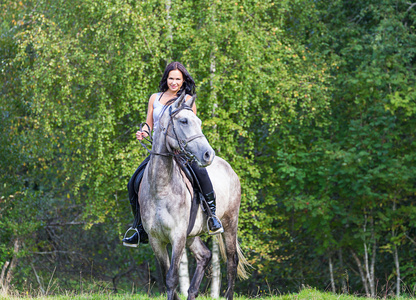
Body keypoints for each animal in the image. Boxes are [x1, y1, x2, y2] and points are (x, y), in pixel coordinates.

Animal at [140, 94, 249, 300]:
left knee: (232, 261)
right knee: (204, 255)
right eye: (183, 121)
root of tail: (229, 168)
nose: (208, 154)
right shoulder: (156, 240)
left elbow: (172, 278)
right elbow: (167, 277)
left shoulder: (177, 236)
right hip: (192, 234)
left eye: (199, 122)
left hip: (230, 222)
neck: (160, 189)